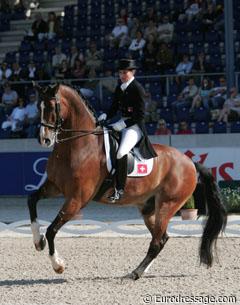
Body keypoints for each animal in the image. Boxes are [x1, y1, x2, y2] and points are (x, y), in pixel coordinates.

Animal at [27, 83, 227, 280]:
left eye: (52, 106)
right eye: (39, 107)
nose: (44, 139)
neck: (77, 146)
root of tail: (190, 162)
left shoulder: (77, 199)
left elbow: (52, 230)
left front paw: (58, 265)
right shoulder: (54, 186)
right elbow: (31, 200)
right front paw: (38, 241)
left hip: (167, 205)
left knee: (157, 241)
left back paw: (135, 273)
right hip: (148, 208)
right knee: (161, 238)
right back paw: (141, 271)